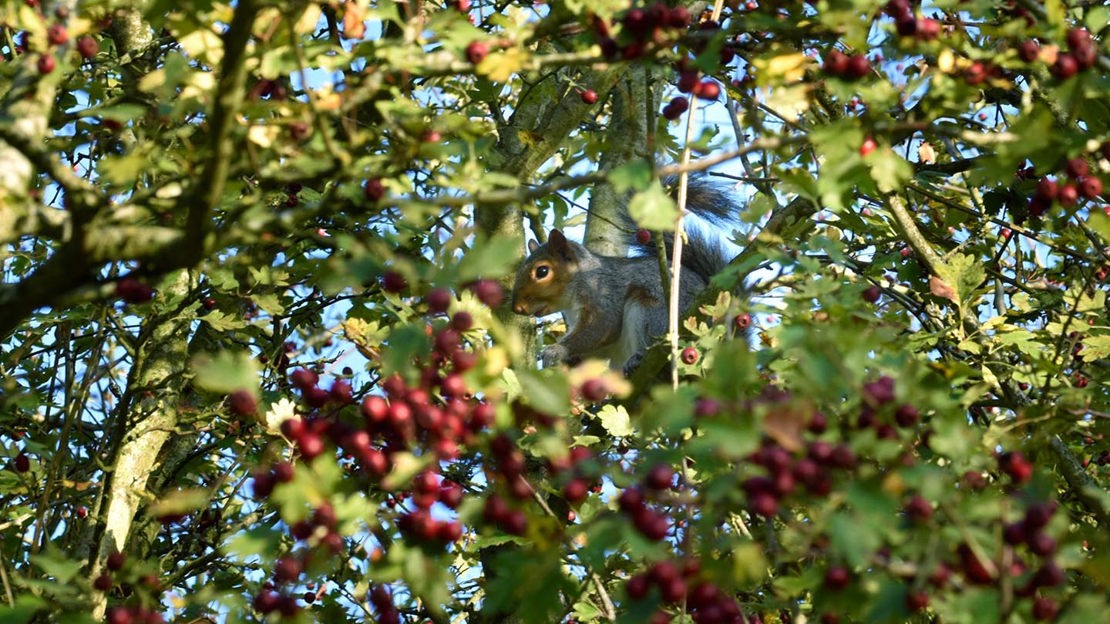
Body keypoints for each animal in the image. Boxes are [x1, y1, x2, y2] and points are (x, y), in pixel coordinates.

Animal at [511, 178, 737, 371]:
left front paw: (556, 350)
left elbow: (601, 328)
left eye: (542, 271)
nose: (517, 308)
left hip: (653, 315)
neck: (580, 281)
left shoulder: (604, 296)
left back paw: (638, 359)